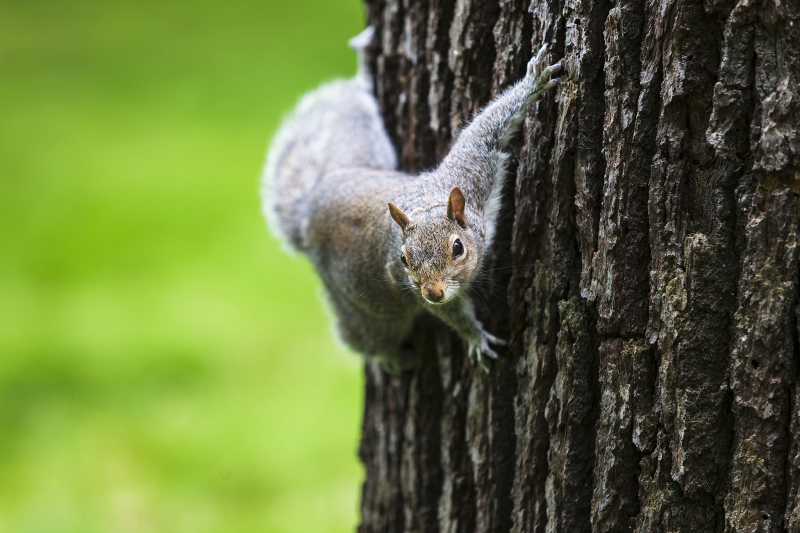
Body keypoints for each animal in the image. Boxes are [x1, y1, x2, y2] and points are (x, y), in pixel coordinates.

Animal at [262, 27, 564, 372]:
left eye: (457, 248)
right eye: (403, 259)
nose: (434, 292)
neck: (427, 205)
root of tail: (308, 212)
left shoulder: (470, 172)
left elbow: (485, 130)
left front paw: (534, 82)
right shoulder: (416, 287)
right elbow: (451, 314)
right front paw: (476, 339)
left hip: (356, 140)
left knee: (354, 104)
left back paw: (362, 64)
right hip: (369, 314)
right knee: (363, 338)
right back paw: (392, 357)